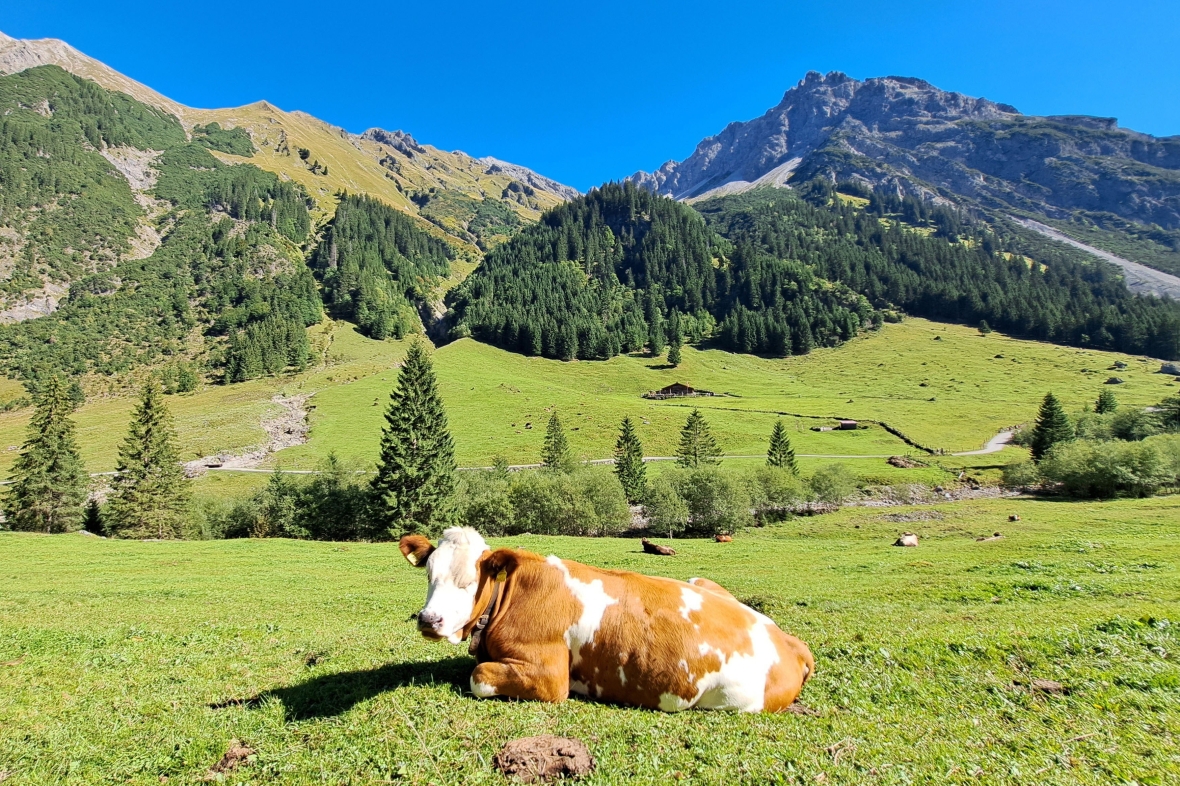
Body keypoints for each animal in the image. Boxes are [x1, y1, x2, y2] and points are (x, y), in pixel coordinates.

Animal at [399, 527, 814, 713]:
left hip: (737, 699)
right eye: (429, 574)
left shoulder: (549, 677)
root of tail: (788, 640)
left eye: (468, 582)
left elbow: (478, 676)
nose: (429, 619)